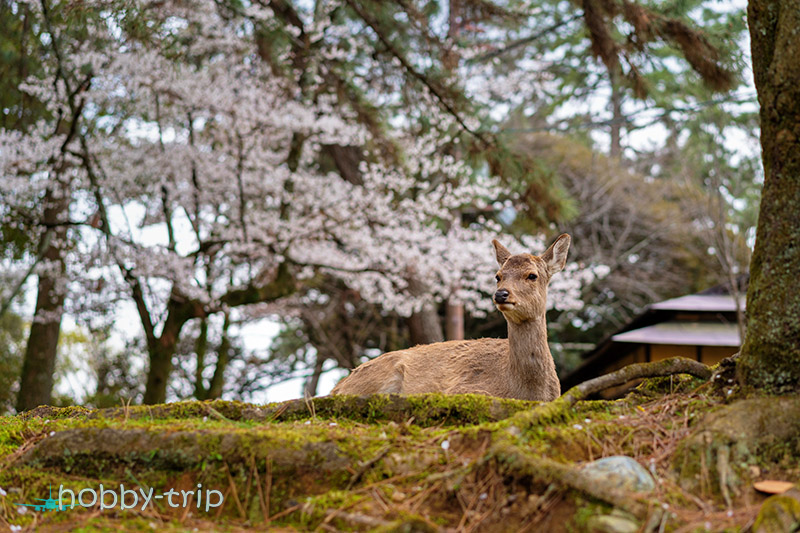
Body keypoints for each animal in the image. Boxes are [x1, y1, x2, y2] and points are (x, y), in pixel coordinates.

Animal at [330, 233, 568, 400]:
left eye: (532, 275)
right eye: (498, 276)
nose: (501, 294)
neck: (526, 390)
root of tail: (338, 386)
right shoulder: (460, 387)